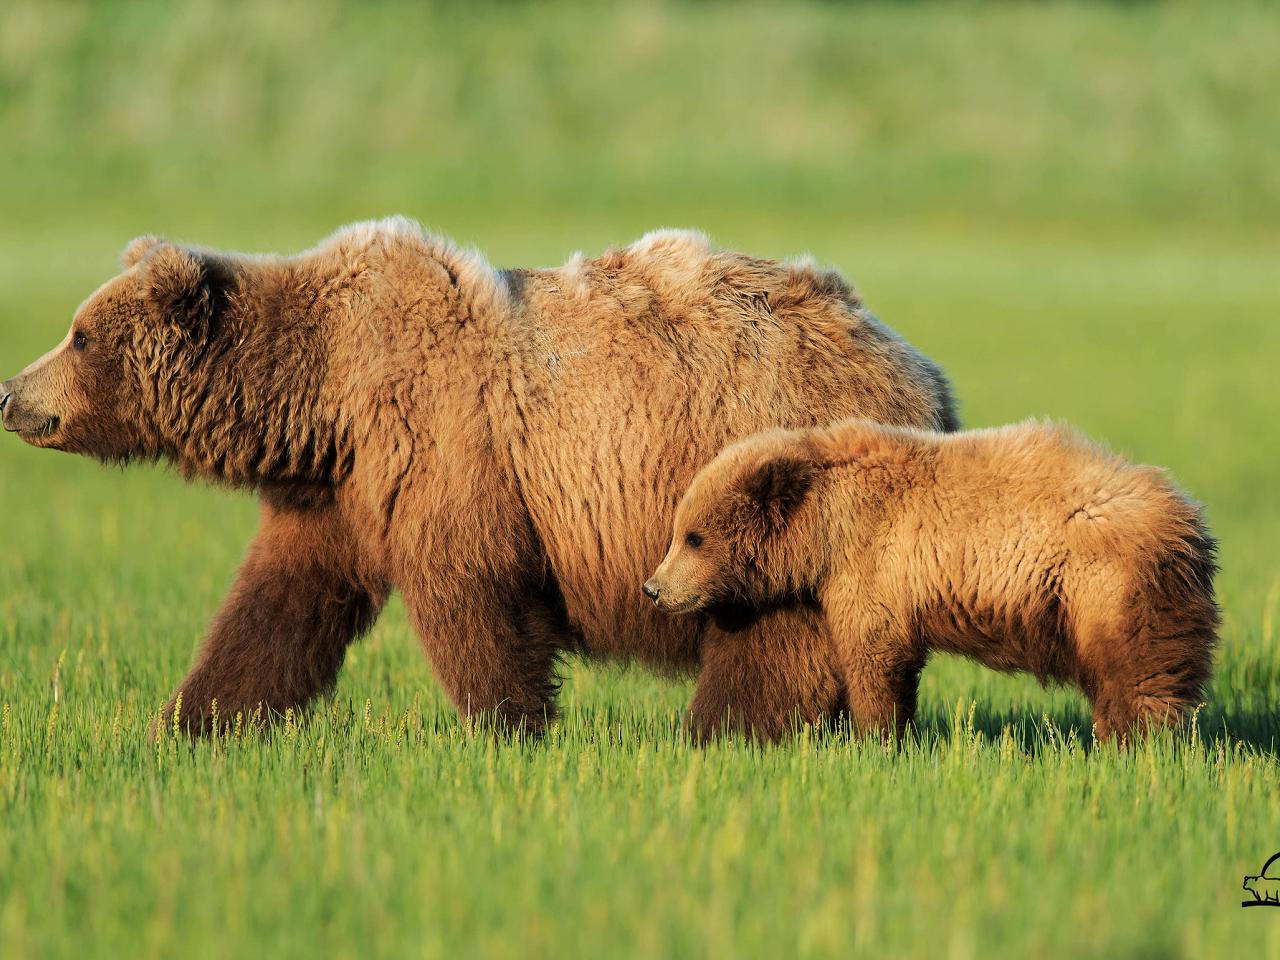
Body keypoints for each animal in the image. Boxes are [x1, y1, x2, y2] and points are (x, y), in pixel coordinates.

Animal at [0, 221, 957, 742]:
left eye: (80, 335)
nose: (11, 392)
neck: (324, 396)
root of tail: (926, 373)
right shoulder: (339, 494)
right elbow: (279, 607)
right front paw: (190, 721)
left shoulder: (445, 444)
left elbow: (472, 592)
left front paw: (509, 728)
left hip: (764, 481)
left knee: (768, 633)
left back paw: (720, 731)